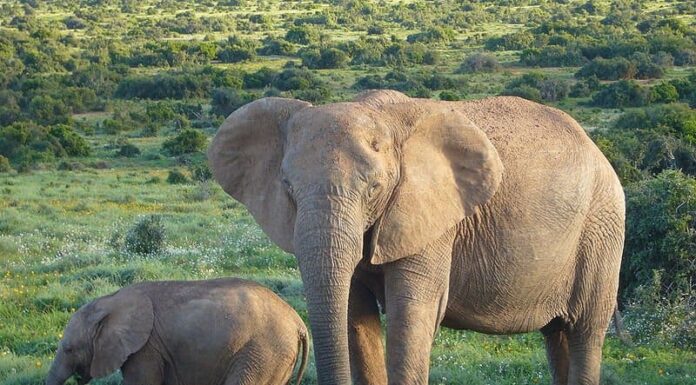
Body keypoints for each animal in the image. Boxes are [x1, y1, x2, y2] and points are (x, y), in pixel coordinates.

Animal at [207, 91, 624, 384]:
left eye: (374, 189)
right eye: (288, 188)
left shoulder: (431, 219)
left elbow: (411, 314)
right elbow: (355, 316)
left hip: (603, 228)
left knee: (585, 330)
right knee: (557, 337)